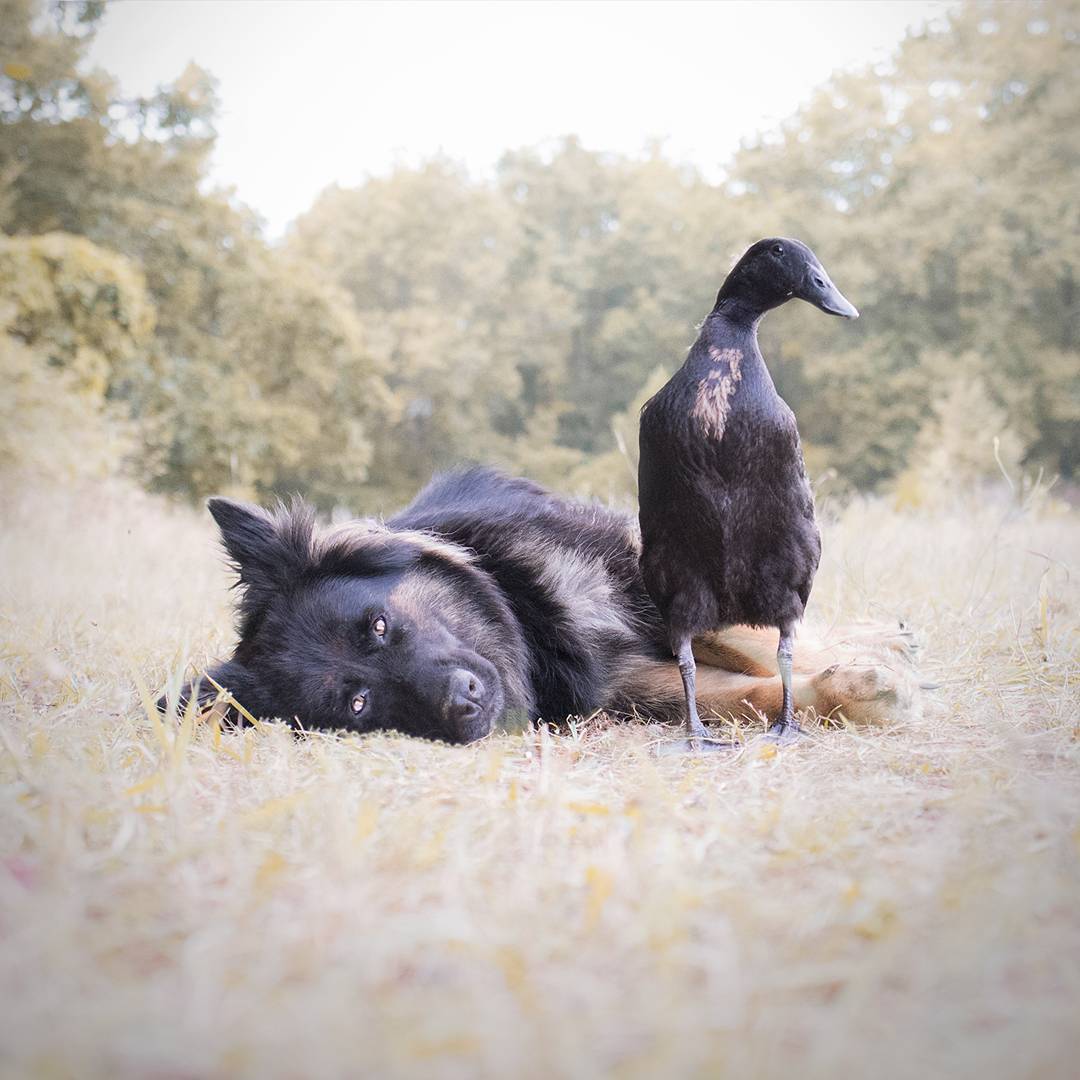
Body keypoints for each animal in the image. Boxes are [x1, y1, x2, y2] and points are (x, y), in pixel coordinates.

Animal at [166, 464, 920, 743]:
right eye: (357, 703)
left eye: (377, 626)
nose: (461, 704)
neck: (528, 619)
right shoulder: (623, 687)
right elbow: (740, 696)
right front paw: (849, 694)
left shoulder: (638, 573)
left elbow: (754, 642)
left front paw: (875, 668)